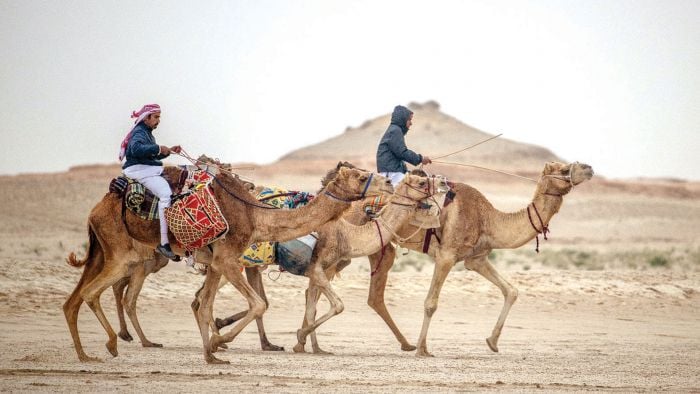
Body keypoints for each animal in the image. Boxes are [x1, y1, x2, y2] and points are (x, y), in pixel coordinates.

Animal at [62, 163, 392, 364]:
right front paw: (219, 341)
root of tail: (97, 209)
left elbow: (205, 306)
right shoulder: (227, 258)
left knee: (73, 300)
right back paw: (110, 345)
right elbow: (256, 304)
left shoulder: (216, 263)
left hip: (102, 249)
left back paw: (84, 354)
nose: (388, 181)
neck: (255, 216)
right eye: (360, 176)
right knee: (94, 293)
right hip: (121, 252)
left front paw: (212, 353)